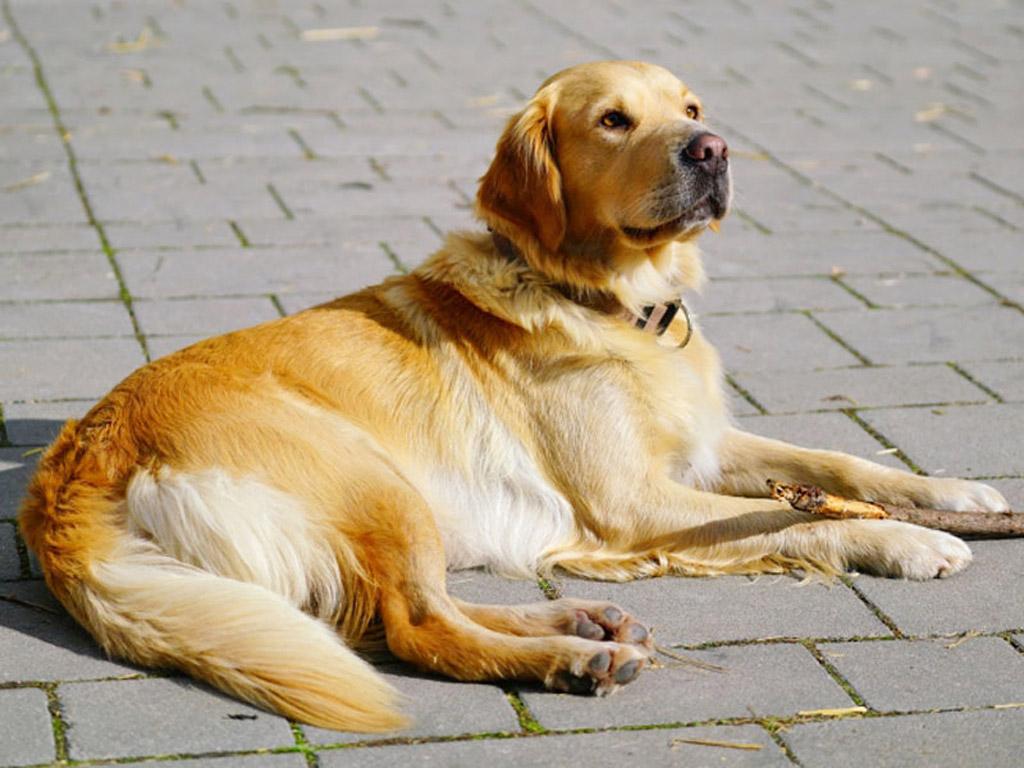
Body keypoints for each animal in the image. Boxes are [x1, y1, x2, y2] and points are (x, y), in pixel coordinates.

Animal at [18, 61, 1007, 733]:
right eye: (613, 120)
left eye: (691, 109)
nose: (714, 148)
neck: (618, 306)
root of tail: (73, 463)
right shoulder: (635, 503)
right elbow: (794, 520)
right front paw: (911, 542)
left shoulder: (708, 447)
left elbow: (839, 464)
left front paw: (952, 495)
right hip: (374, 479)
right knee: (414, 628)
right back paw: (574, 660)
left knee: (406, 613)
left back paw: (582, 621)